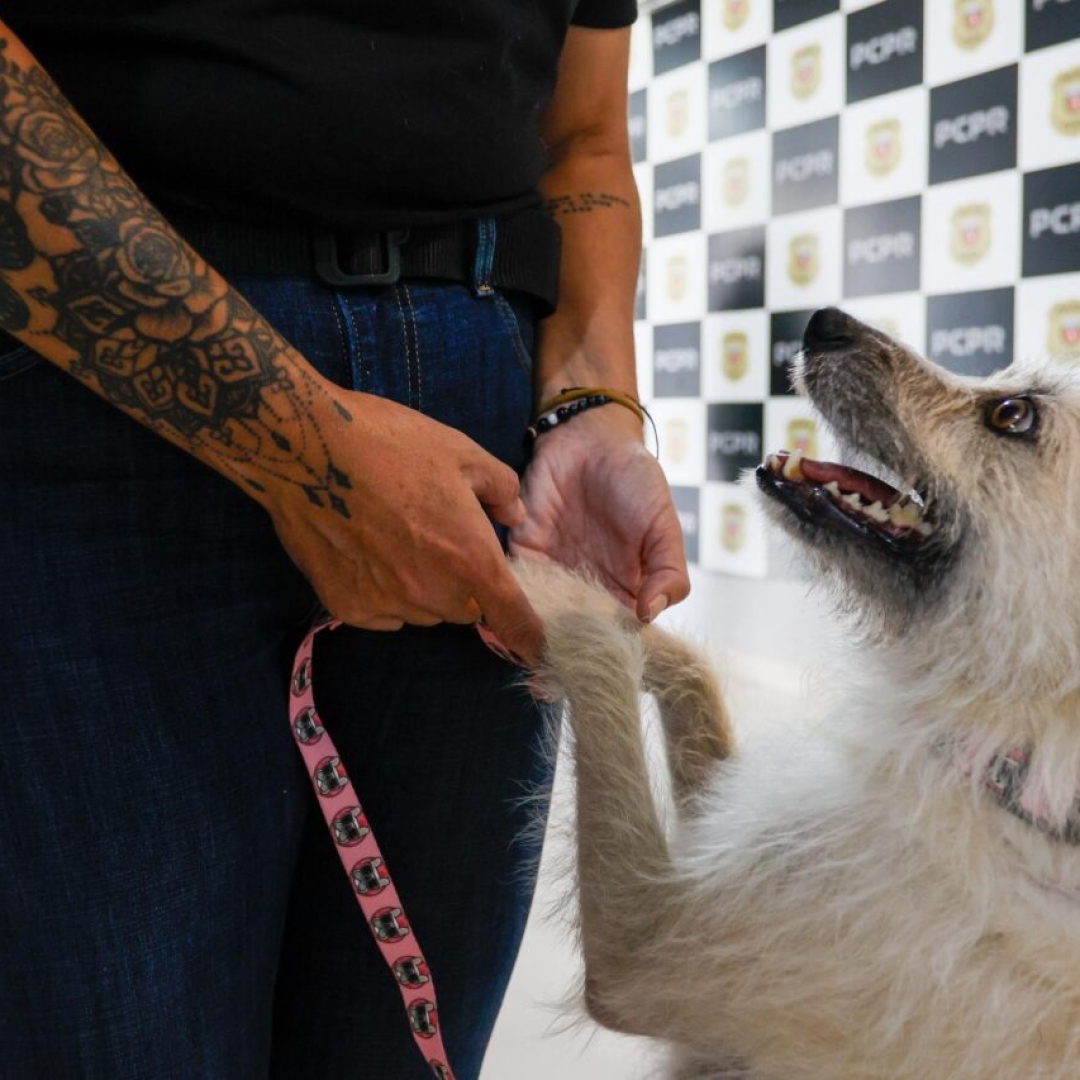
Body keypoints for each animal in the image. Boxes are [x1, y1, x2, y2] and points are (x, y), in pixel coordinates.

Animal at [520, 308, 1080, 1075]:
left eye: (1014, 414)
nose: (823, 321)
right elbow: (693, 669)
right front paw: (641, 631)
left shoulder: (646, 944)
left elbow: (596, 641)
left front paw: (535, 578)